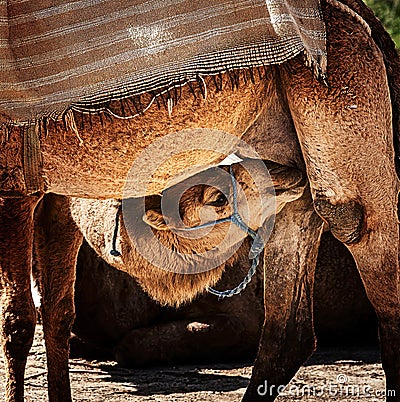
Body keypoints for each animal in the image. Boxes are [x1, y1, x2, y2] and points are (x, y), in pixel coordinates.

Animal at [0, 0, 400, 402]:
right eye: (218, 198)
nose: (280, 176)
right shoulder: (54, 190)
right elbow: (55, 313)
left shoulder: (15, 183)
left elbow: (19, 323)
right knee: (291, 324)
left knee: (354, 226)